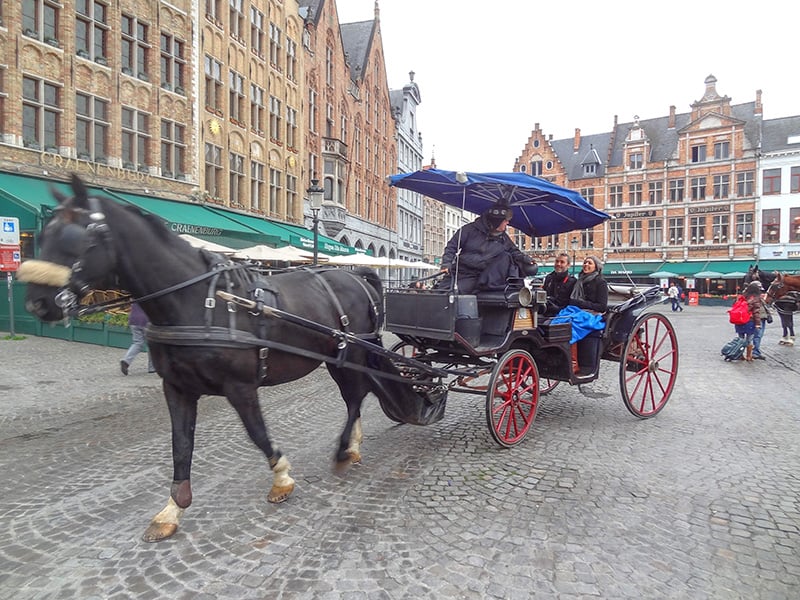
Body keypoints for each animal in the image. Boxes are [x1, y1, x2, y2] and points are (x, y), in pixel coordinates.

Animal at [18, 173, 422, 544]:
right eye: (44, 233)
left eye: (76, 237)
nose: (36, 303)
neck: (195, 302)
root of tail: (358, 275)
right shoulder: (177, 388)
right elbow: (181, 446)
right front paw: (172, 509)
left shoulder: (240, 386)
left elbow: (258, 434)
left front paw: (282, 479)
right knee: (358, 394)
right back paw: (352, 446)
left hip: (347, 353)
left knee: (355, 397)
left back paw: (342, 451)